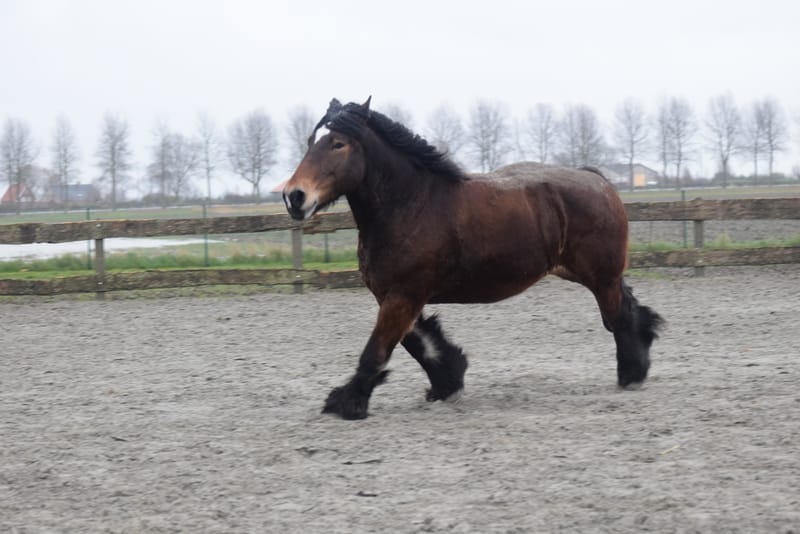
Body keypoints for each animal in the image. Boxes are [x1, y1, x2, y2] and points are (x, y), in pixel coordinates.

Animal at [283, 97, 663, 420]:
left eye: (338, 143)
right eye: (311, 141)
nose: (294, 196)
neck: (411, 205)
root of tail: (598, 180)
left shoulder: (404, 294)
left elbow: (378, 349)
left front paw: (347, 402)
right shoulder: (394, 294)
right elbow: (420, 342)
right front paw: (447, 384)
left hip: (600, 276)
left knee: (618, 317)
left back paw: (631, 374)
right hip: (583, 272)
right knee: (629, 306)